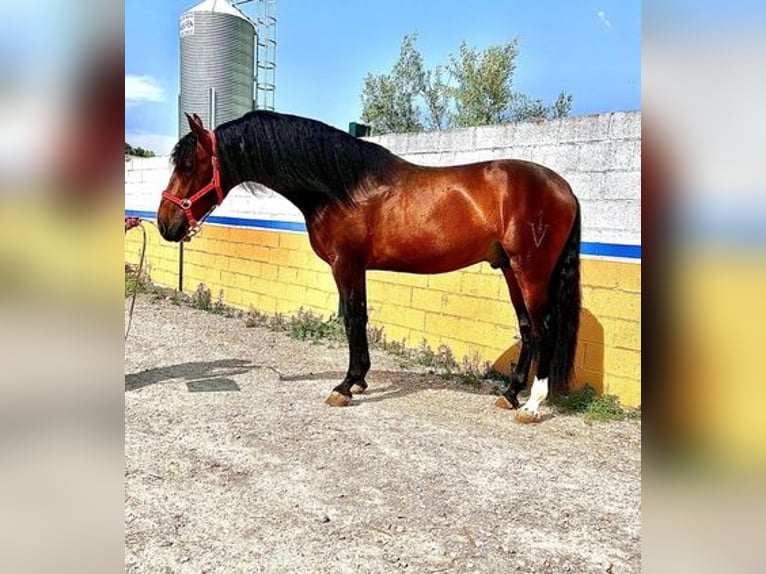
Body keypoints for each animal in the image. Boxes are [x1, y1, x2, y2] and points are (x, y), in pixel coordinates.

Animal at [158, 112, 584, 426]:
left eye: (190, 165)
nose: (165, 225)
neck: (340, 187)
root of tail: (564, 188)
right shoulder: (356, 267)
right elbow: (358, 318)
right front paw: (359, 380)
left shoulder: (346, 264)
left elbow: (353, 319)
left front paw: (346, 385)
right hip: (511, 270)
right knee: (527, 328)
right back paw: (510, 395)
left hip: (530, 271)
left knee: (543, 329)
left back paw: (532, 405)